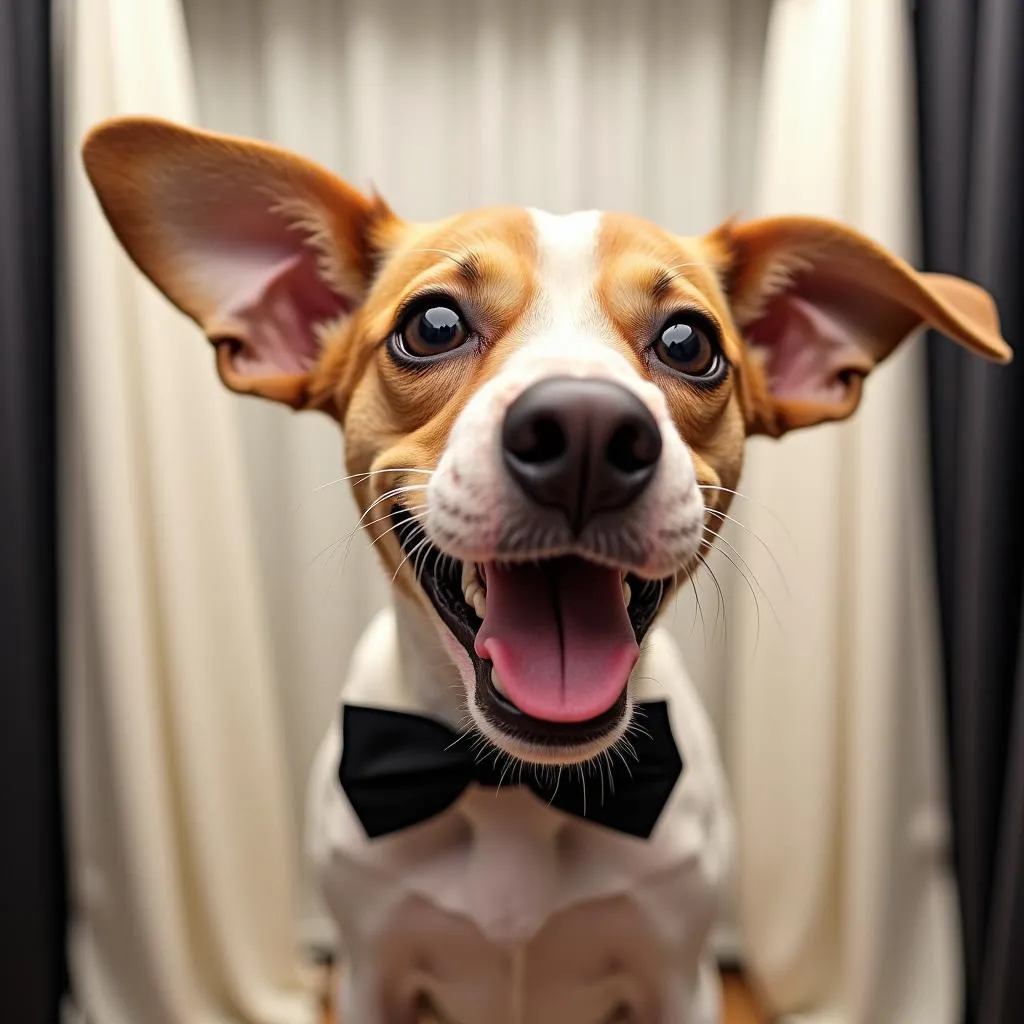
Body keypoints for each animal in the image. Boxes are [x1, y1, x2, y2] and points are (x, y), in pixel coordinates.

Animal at [83, 116, 1011, 1019]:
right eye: (432, 325)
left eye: (689, 342)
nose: (587, 433)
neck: (516, 789)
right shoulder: (369, 974)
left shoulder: (679, 980)